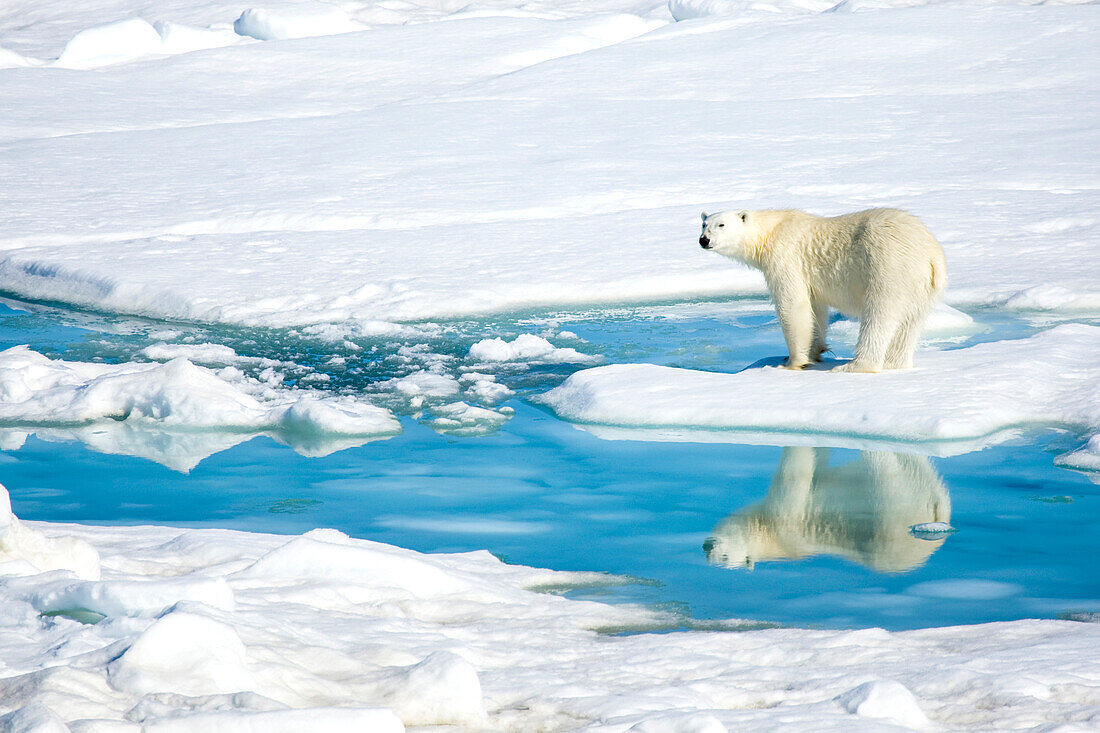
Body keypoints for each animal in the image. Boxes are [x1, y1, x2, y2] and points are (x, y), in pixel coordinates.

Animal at [699, 206, 941, 372]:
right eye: (704, 224)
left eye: (721, 225)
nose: (704, 240)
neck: (770, 232)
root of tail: (931, 254)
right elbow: (815, 309)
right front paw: (815, 352)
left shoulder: (784, 257)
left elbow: (793, 305)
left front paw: (791, 362)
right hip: (922, 285)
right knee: (911, 322)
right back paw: (894, 364)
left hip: (888, 265)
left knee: (879, 314)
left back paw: (854, 366)